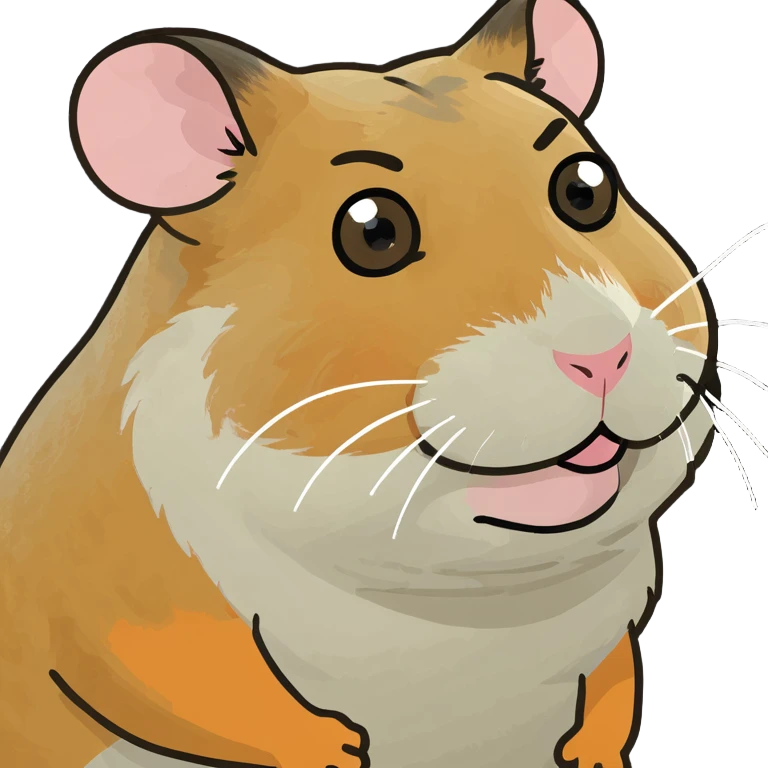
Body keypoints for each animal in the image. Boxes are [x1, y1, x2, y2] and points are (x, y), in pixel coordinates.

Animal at [2, 1, 731, 767]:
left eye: (586, 189)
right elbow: (188, 684)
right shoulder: (114, 604)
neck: (464, 606)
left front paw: (586, 752)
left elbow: (611, 690)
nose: (601, 355)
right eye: (373, 232)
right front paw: (339, 748)